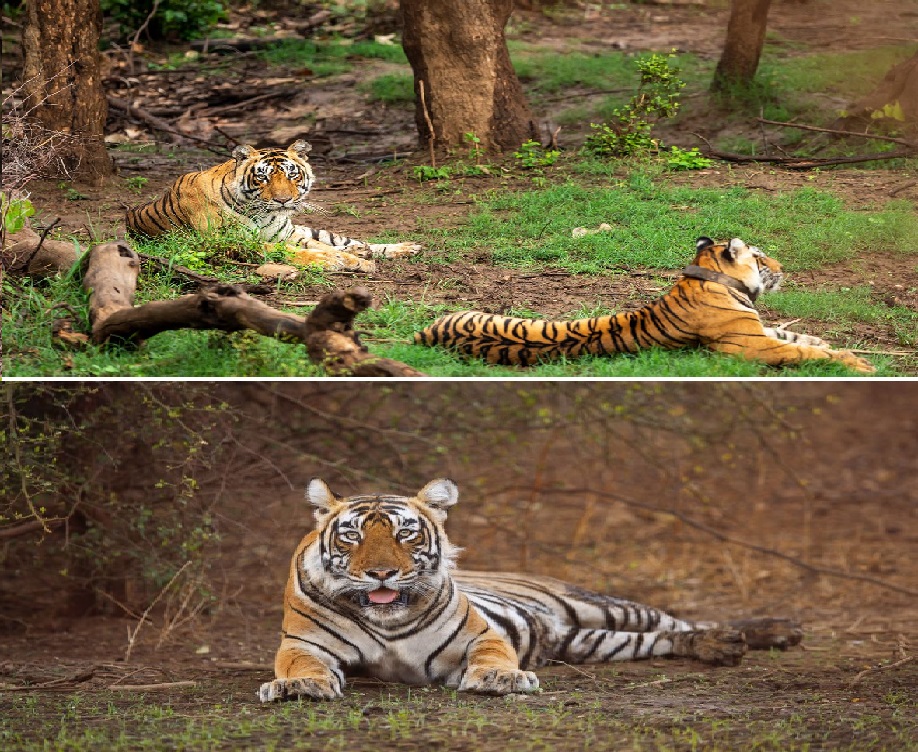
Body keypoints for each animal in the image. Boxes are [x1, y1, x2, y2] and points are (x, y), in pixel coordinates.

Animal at [125, 140, 421, 272]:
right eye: (263, 177)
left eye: (292, 174)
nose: (283, 200)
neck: (261, 214)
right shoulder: (231, 242)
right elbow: (295, 252)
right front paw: (332, 261)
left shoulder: (287, 234)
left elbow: (321, 245)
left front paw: (357, 261)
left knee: (342, 239)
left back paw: (401, 248)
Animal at [258, 478, 802, 701]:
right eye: (351, 535)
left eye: (405, 533)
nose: (380, 575)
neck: (387, 621)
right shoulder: (303, 645)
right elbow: (302, 666)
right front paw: (299, 687)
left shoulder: (480, 635)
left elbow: (493, 655)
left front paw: (500, 679)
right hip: (593, 641)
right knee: (667, 638)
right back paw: (723, 647)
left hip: (604, 608)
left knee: (681, 620)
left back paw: (767, 632)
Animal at [414, 237, 875, 373]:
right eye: (761, 258)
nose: (782, 267)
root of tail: (424, 333)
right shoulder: (751, 345)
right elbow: (801, 351)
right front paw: (857, 363)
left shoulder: (759, 330)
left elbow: (799, 336)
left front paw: (837, 346)